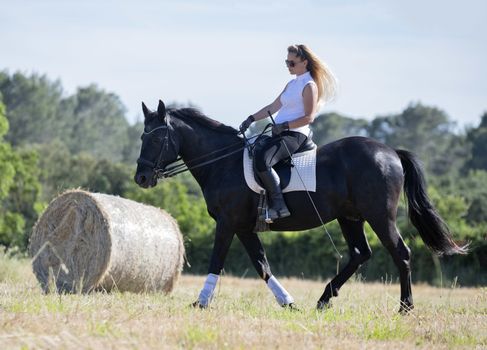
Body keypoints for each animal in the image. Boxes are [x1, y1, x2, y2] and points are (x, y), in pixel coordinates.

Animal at [135, 100, 468, 314]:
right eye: (141, 136)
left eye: (157, 139)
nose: (141, 178)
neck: (222, 163)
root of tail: (391, 153)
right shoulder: (243, 227)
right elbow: (262, 265)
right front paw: (288, 302)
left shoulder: (227, 223)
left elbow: (217, 261)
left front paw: (201, 303)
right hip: (350, 217)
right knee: (360, 254)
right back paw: (324, 299)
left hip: (379, 216)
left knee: (401, 253)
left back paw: (405, 307)